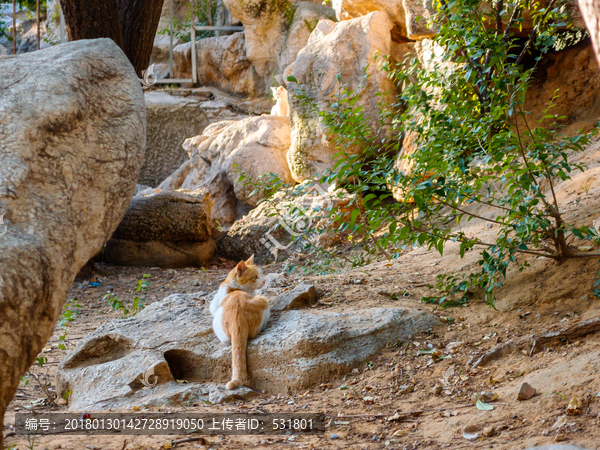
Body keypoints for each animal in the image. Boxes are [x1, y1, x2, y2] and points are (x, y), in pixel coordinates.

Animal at [209, 256, 270, 390]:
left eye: (262, 274)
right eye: (255, 277)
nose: (264, 281)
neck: (233, 287)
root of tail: (238, 319)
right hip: (263, 299)